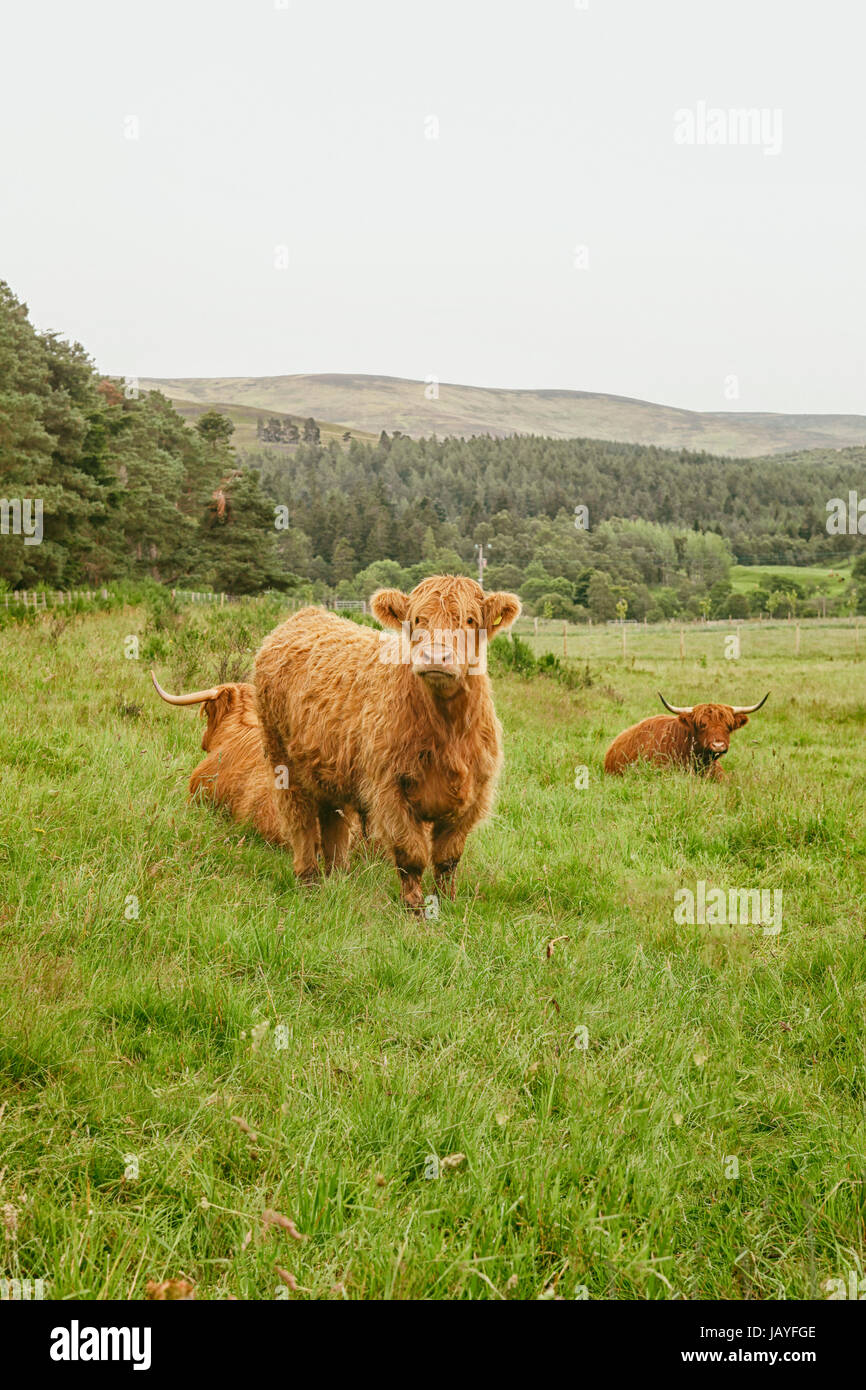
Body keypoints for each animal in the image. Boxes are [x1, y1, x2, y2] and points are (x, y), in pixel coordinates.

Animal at [253, 575, 521, 912]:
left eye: (470, 620)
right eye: (417, 620)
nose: (436, 656)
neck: (448, 730)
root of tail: (306, 615)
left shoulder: (473, 795)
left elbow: (448, 858)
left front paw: (447, 903)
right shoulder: (391, 792)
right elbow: (412, 855)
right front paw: (415, 910)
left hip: (328, 767)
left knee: (333, 822)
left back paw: (338, 877)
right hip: (282, 762)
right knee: (300, 822)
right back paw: (309, 881)